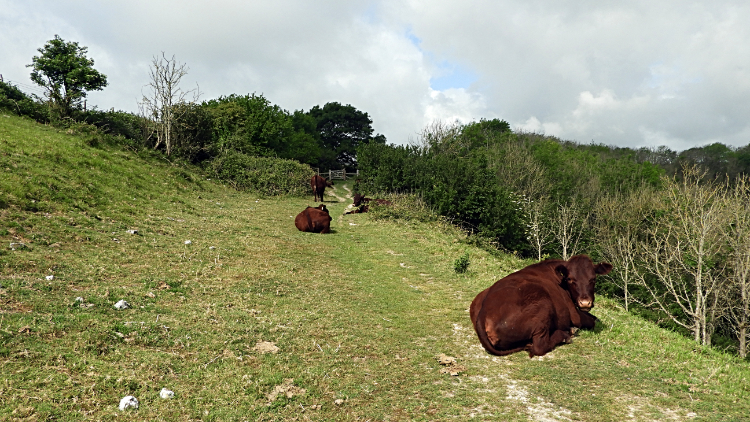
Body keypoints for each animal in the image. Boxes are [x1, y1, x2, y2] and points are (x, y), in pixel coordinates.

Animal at [472, 256, 612, 358]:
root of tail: (483, 311)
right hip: (543, 306)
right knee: (540, 347)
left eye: (593, 279)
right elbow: (591, 321)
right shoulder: (574, 314)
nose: (585, 302)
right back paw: (566, 334)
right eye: (570, 279)